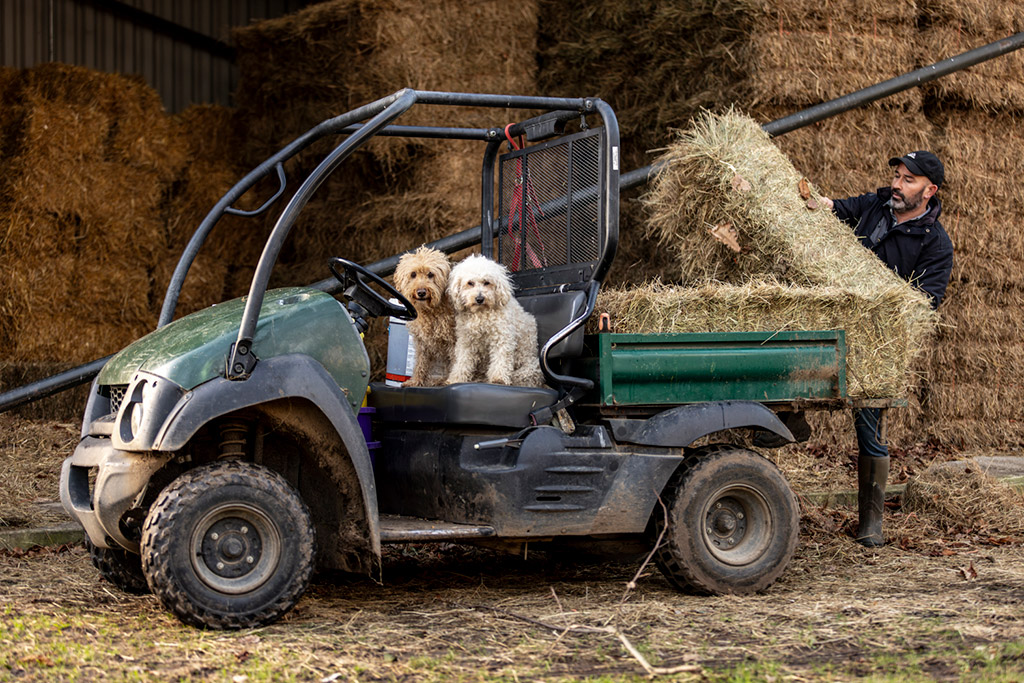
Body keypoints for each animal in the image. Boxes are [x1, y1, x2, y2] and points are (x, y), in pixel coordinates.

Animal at [446, 253, 544, 387]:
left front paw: (499, 378)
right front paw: (456, 378)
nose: (479, 298)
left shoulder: (502, 336)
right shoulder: (466, 340)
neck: (481, 313)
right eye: (470, 283)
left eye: (487, 282)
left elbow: (501, 357)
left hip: (525, 354)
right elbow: (462, 360)